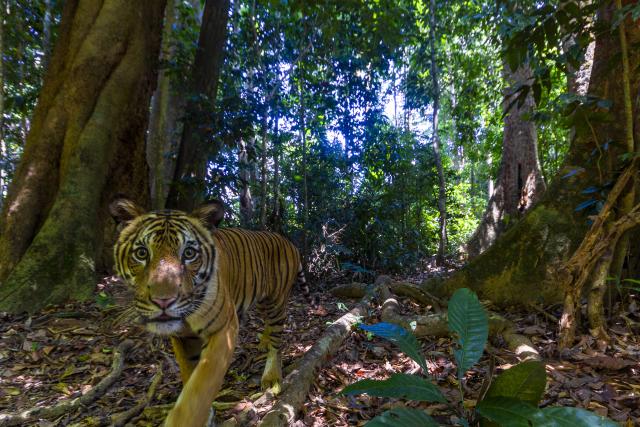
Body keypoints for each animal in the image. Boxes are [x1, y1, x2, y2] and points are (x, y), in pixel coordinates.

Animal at [110, 198, 306, 427]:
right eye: (141, 253)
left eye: (189, 253)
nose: (163, 300)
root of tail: (288, 241)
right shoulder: (181, 337)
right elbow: (189, 374)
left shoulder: (224, 328)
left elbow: (203, 381)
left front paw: (185, 419)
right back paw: (264, 342)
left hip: (276, 301)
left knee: (277, 339)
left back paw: (272, 377)